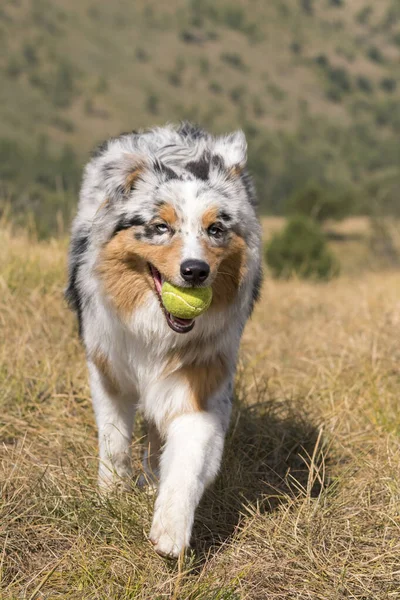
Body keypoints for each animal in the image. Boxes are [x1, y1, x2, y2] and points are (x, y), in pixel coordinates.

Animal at [65, 122, 262, 556]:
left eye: (215, 229)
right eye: (160, 227)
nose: (195, 271)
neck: (155, 330)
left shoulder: (202, 381)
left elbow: (188, 458)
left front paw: (170, 530)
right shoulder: (108, 369)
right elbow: (114, 440)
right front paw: (111, 495)